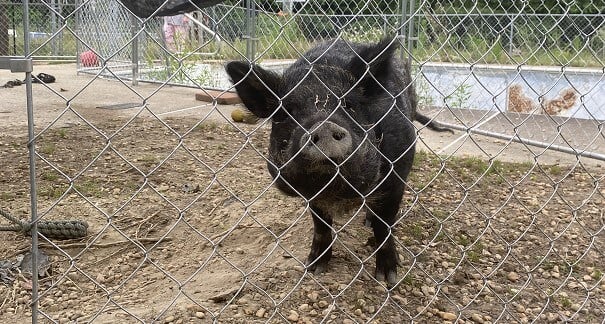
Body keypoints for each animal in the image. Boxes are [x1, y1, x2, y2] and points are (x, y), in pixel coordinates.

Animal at [226, 38, 448, 286]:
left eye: (349, 104)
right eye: (285, 113)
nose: (323, 126)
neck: (337, 192)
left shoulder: (396, 177)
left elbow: (384, 226)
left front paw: (388, 279)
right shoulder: (312, 197)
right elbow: (321, 226)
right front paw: (314, 268)